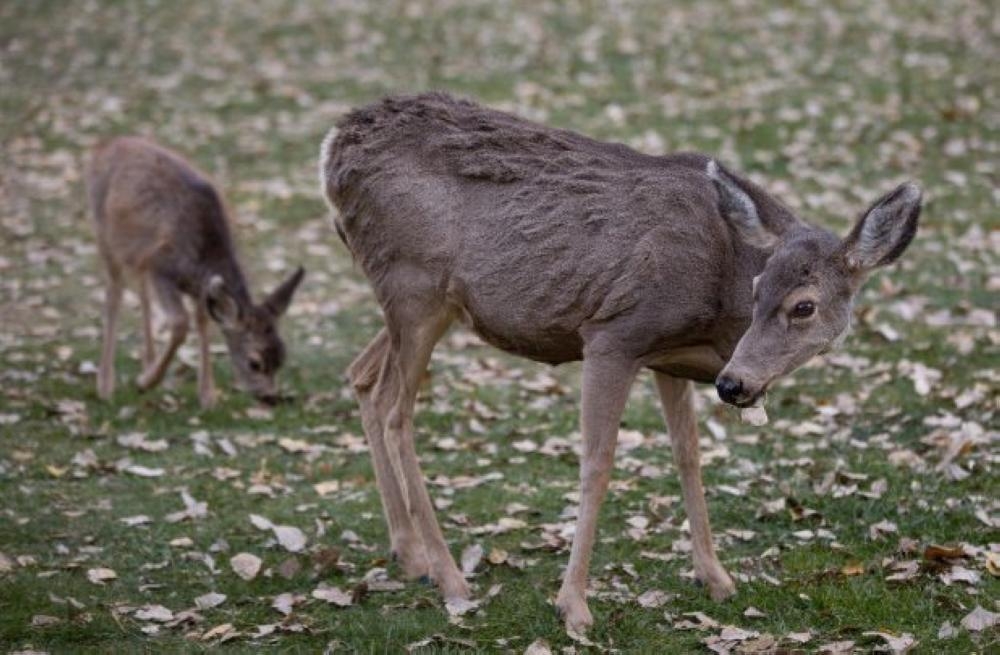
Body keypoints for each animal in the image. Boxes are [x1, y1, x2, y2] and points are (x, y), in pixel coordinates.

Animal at [86, 136, 304, 408]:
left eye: (282, 356)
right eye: (254, 363)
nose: (270, 397)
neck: (202, 260)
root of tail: (105, 145)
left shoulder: (199, 287)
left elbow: (203, 321)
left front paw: (207, 395)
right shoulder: (162, 267)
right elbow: (180, 323)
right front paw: (146, 383)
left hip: (136, 250)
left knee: (140, 287)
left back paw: (148, 360)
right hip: (104, 230)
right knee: (114, 292)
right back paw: (106, 384)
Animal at [318, 93, 920, 636]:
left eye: (803, 305)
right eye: (758, 290)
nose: (734, 384)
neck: (715, 306)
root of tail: (332, 149)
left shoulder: (669, 359)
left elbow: (688, 457)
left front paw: (716, 577)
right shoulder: (615, 333)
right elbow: (598, 463)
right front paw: (573, 606)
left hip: (425, 302)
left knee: (363, 376)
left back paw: (410, 555)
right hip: (412, 282)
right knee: (395, 410)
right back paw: (449, 577)